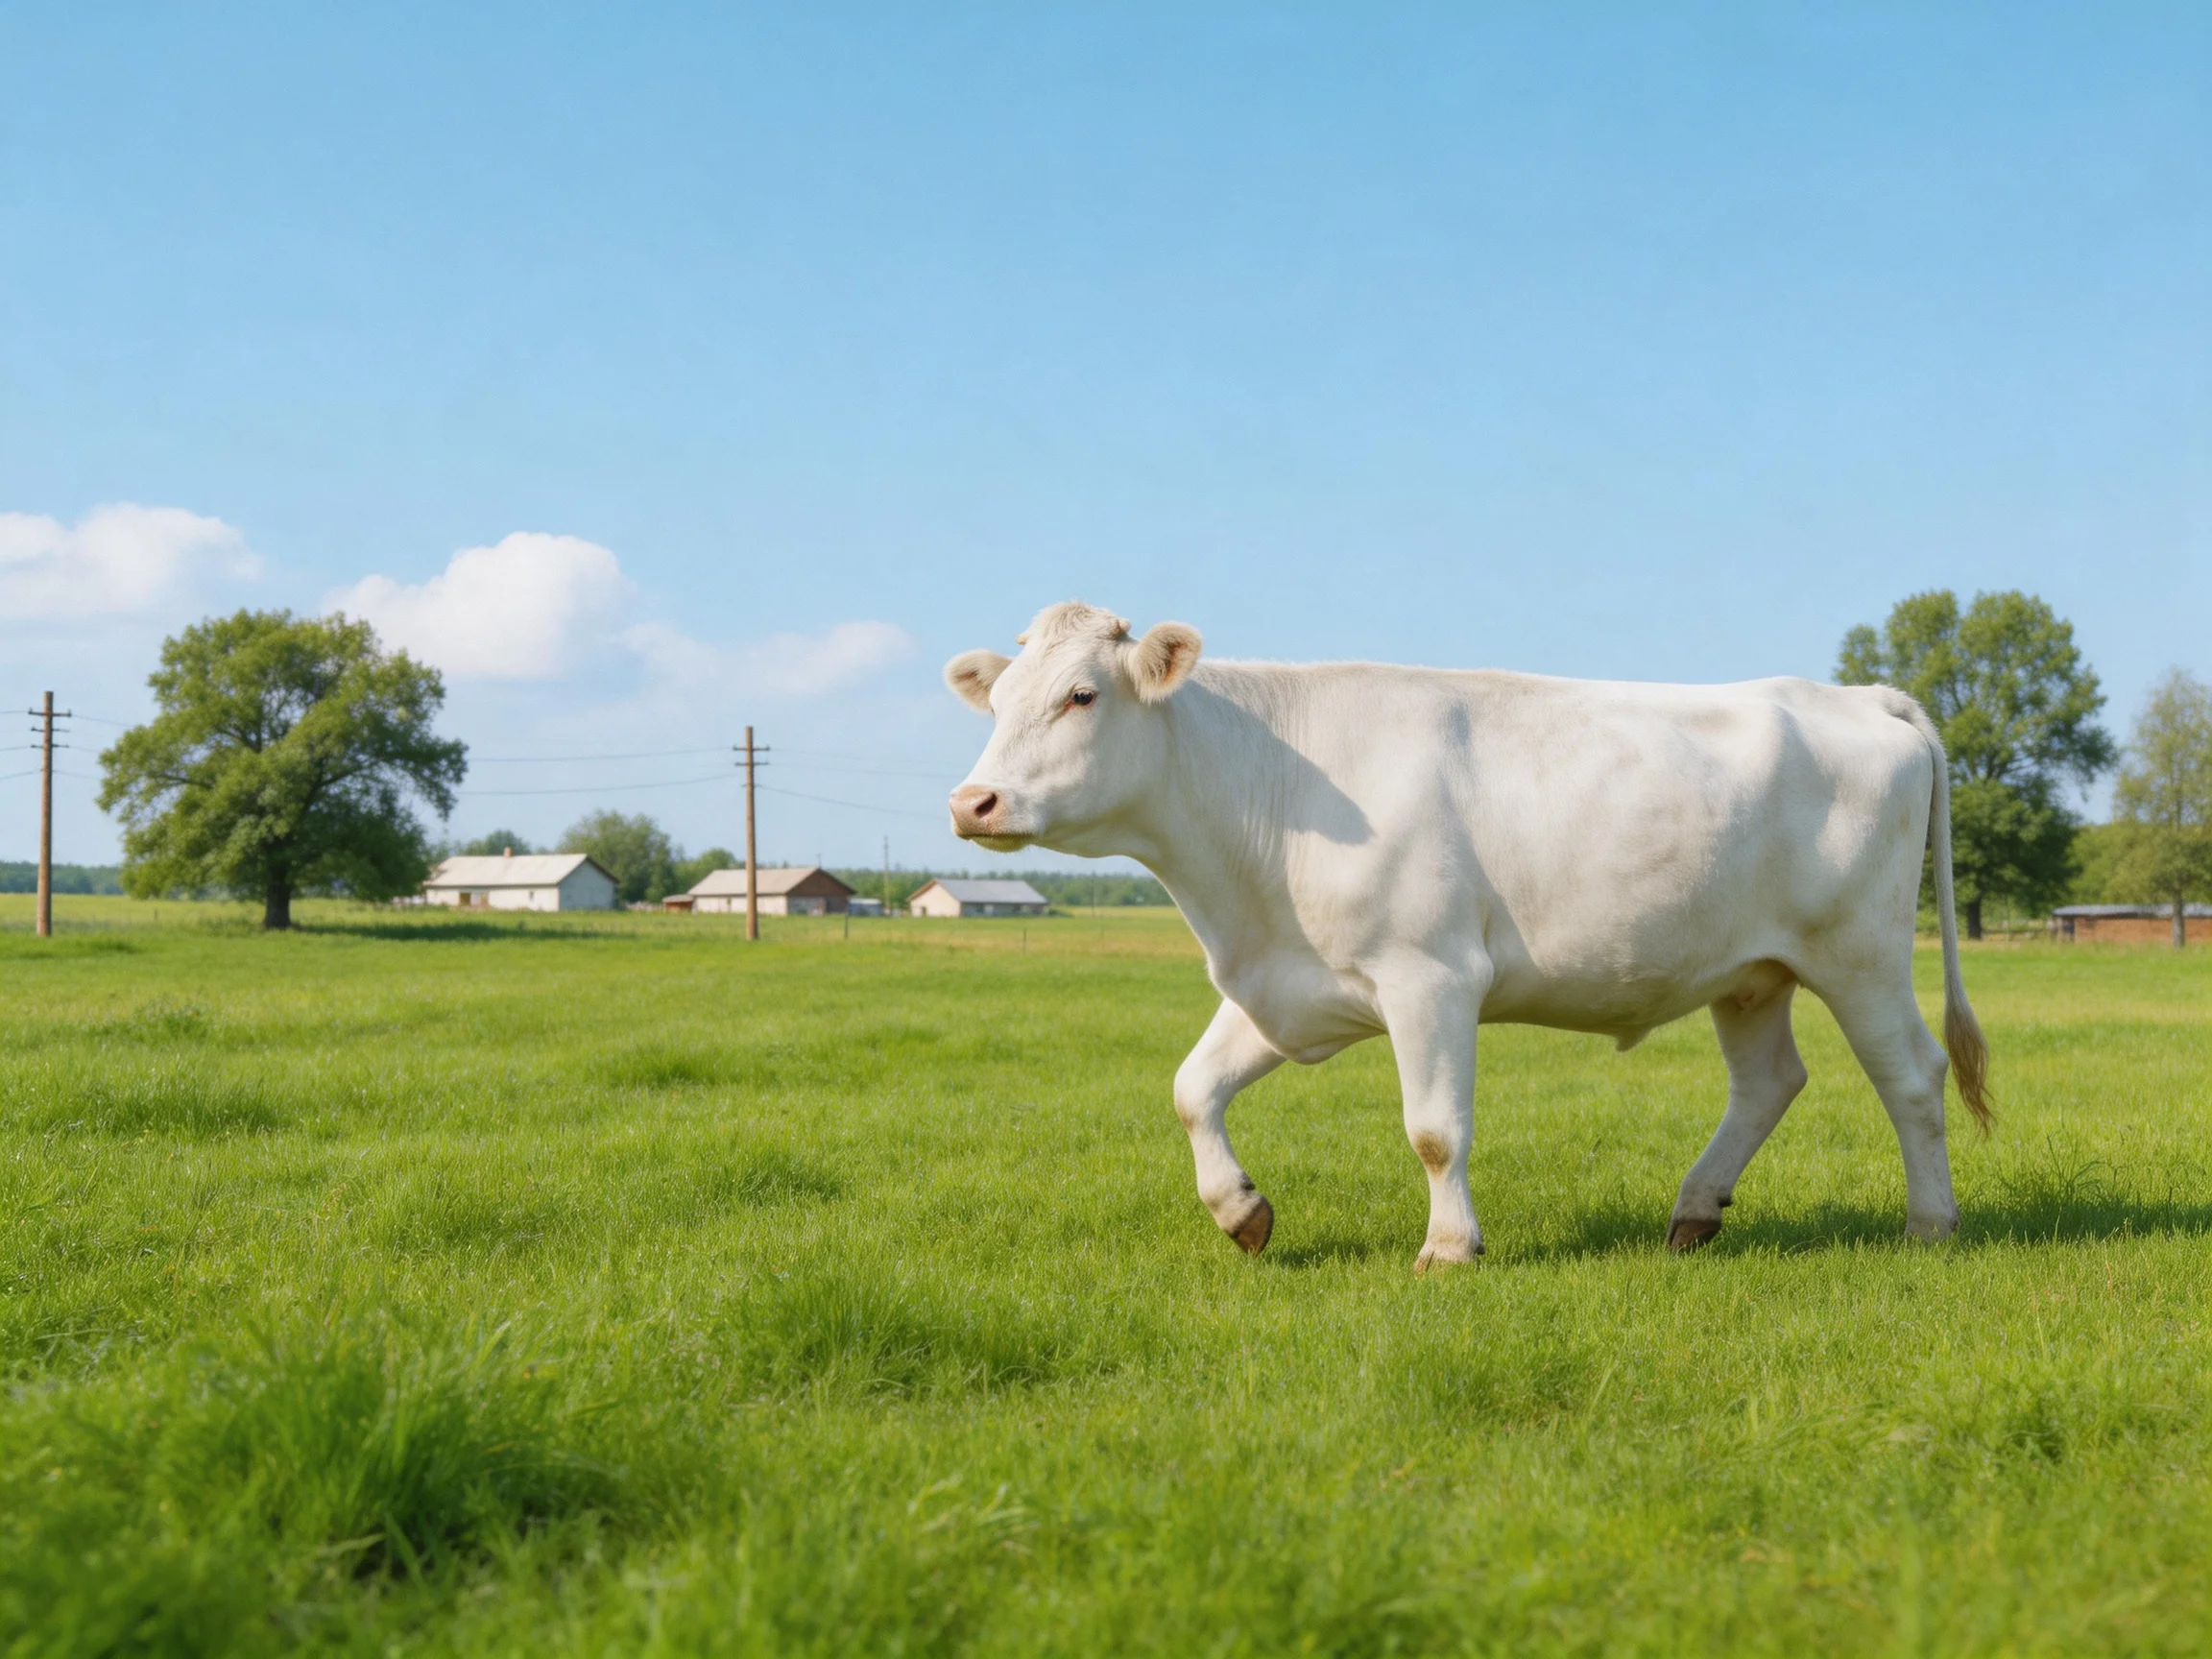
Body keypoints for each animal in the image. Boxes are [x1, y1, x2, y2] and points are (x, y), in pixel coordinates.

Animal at [944, 602, 1991, 1270]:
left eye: (1082, 695)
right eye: (996, 703)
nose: (970, 801)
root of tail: (1855, 694)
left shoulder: (1431, 976)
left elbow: (1435, 1130)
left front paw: (1449, 1248)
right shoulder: (1290, 983)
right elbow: (1191, 1089)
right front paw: (1241, 1214)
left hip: (1860, 952)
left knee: (1911, 1075)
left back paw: (1931, 1225)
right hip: (1751, 970)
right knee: (1770, 1082)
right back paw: (1694, 1212)